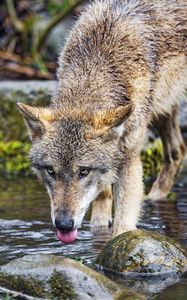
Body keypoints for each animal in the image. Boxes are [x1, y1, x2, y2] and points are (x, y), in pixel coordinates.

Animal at [17, 0, 186, 244]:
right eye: (50, 171)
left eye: (83, 171)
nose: (64, 224)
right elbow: (100, 206)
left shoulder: (129, 156)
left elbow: (123, 223)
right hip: (162, 108)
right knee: (177, 151)